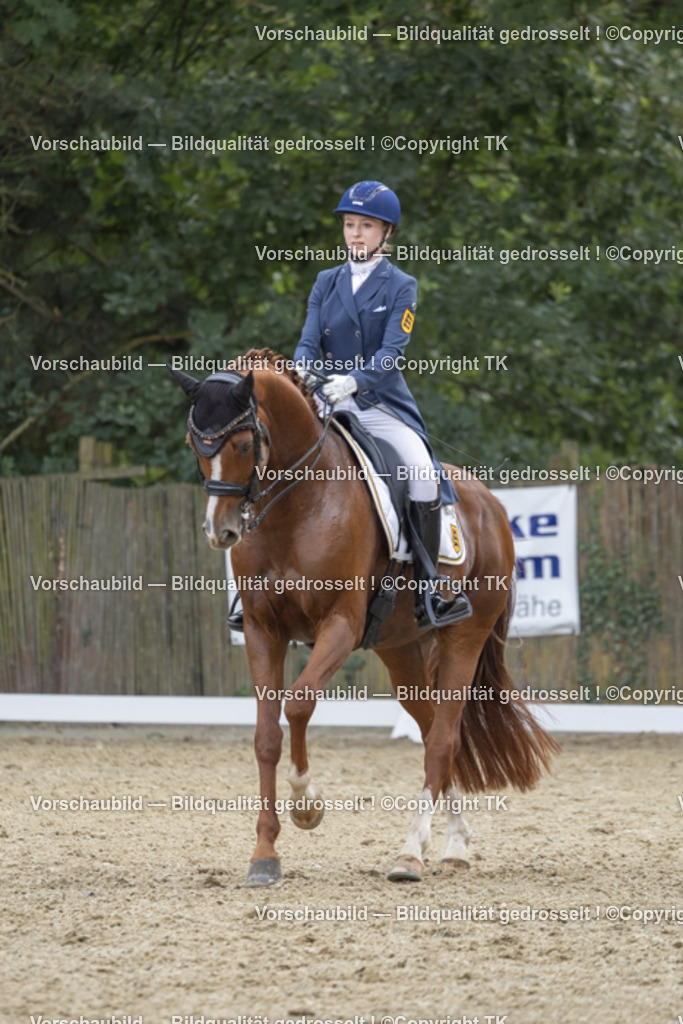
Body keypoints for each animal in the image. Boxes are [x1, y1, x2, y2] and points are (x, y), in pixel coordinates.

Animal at [169, 349, 559, 886]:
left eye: (245, 443)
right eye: (195, 444)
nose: (219, 531)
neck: (294, 505)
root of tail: (492, 504)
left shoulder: (341, 626)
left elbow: (299, 704)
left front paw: (307, 806)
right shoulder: (262, 630)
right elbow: (267, 736)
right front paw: (265, 854)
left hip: (465, 635)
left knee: (443, 738)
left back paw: (410, 853)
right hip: (401, 649)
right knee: (433, 729)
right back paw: (454, 844)